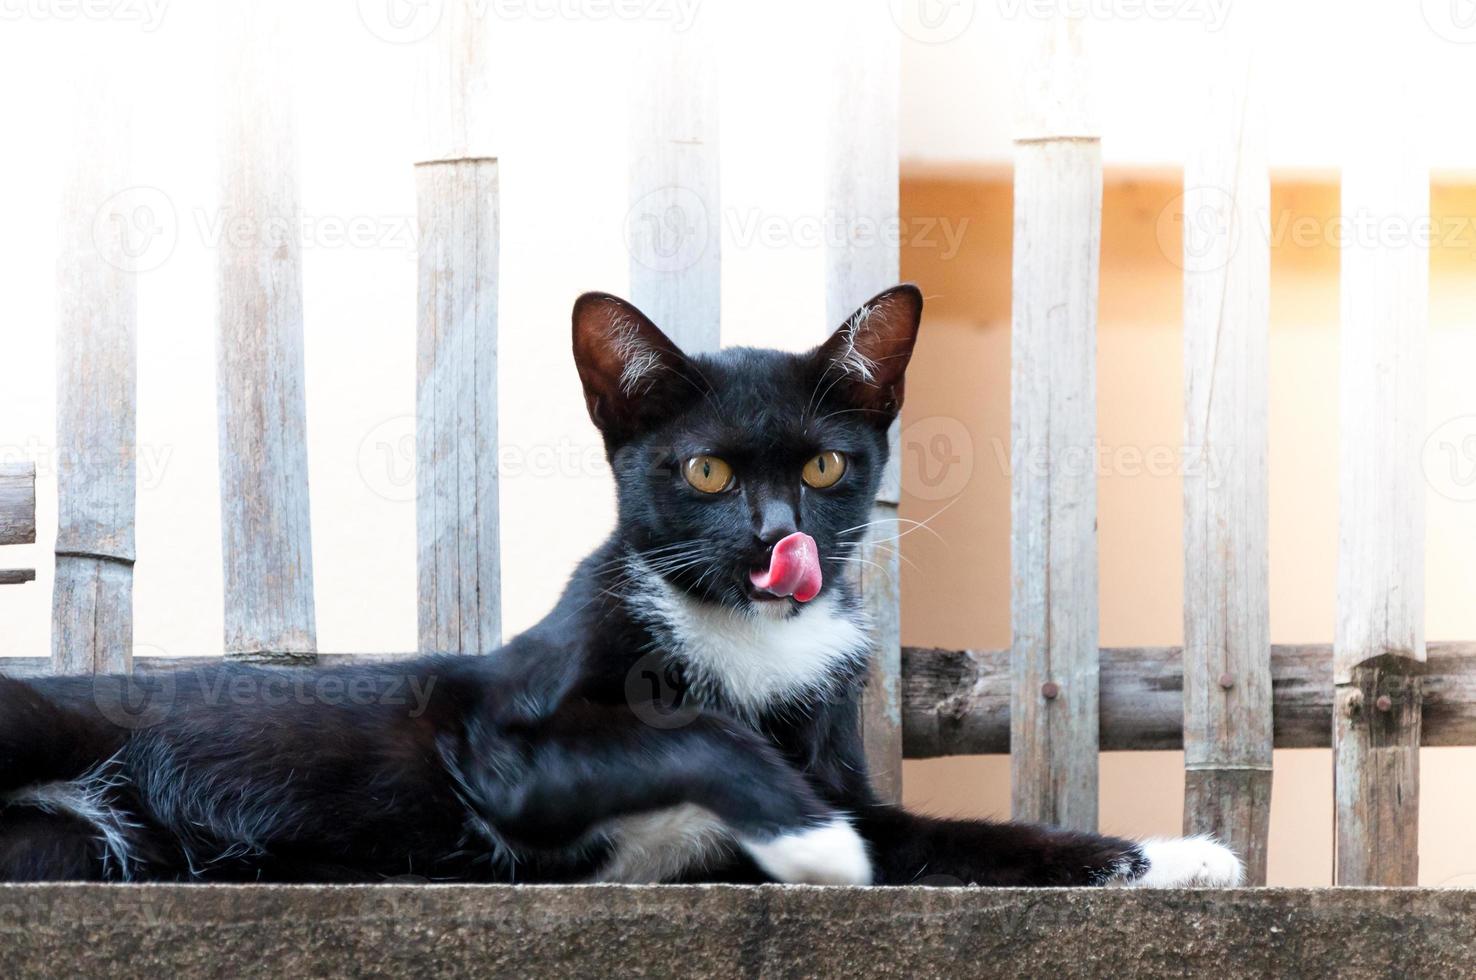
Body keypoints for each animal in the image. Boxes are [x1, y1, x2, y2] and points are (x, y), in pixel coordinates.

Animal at [0, 284, 1239, 885]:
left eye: (825, 465)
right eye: (706, 470)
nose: (777, 538)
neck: (745, 641)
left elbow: (989, 838)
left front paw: (1181, 855)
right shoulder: (503, 738)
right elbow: (695, 730)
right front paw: (812, 840)